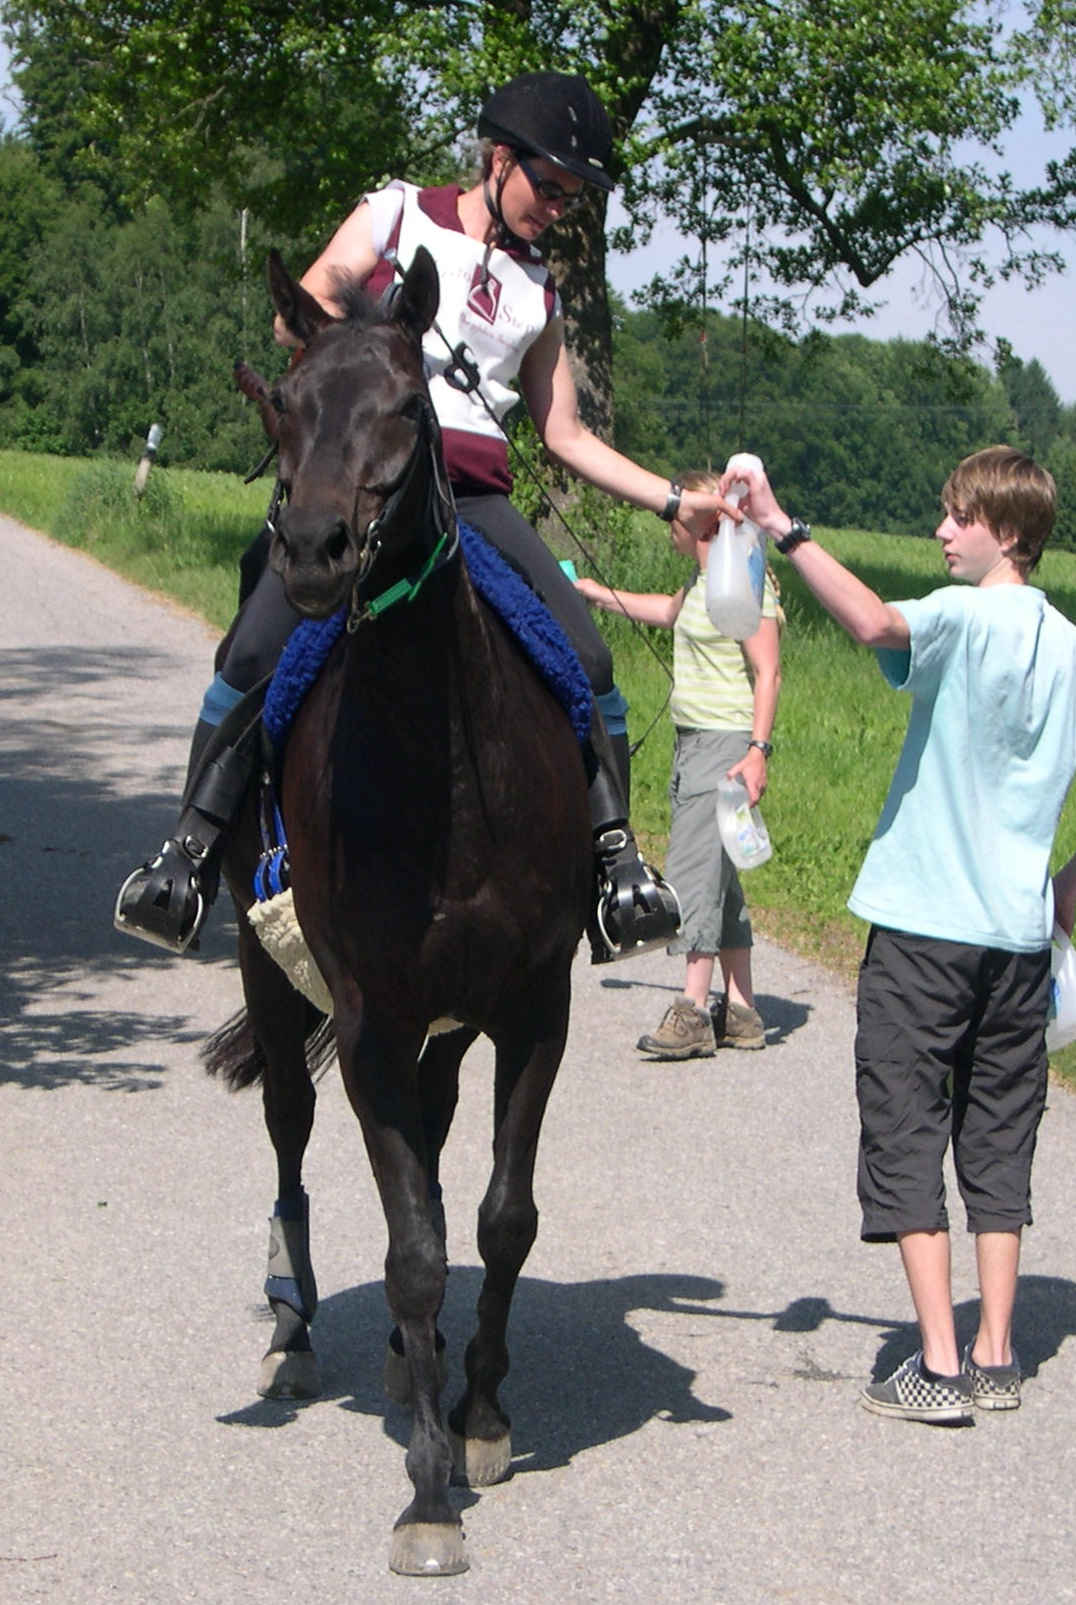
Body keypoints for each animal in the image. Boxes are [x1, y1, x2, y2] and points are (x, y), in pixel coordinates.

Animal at [199, 243, 594, 1572]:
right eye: (283, 407)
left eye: (409, 405)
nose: (316, 550)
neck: (445, 769)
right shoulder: (369, 1021)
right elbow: (414, 1249)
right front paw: (426, 1493)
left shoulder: (530, 1012)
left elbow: (500, 1218)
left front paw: (478, 1413)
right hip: (272, 984)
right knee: (290, 1134)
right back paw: (294, 1333)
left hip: (449, 1028)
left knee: (426, 1138)